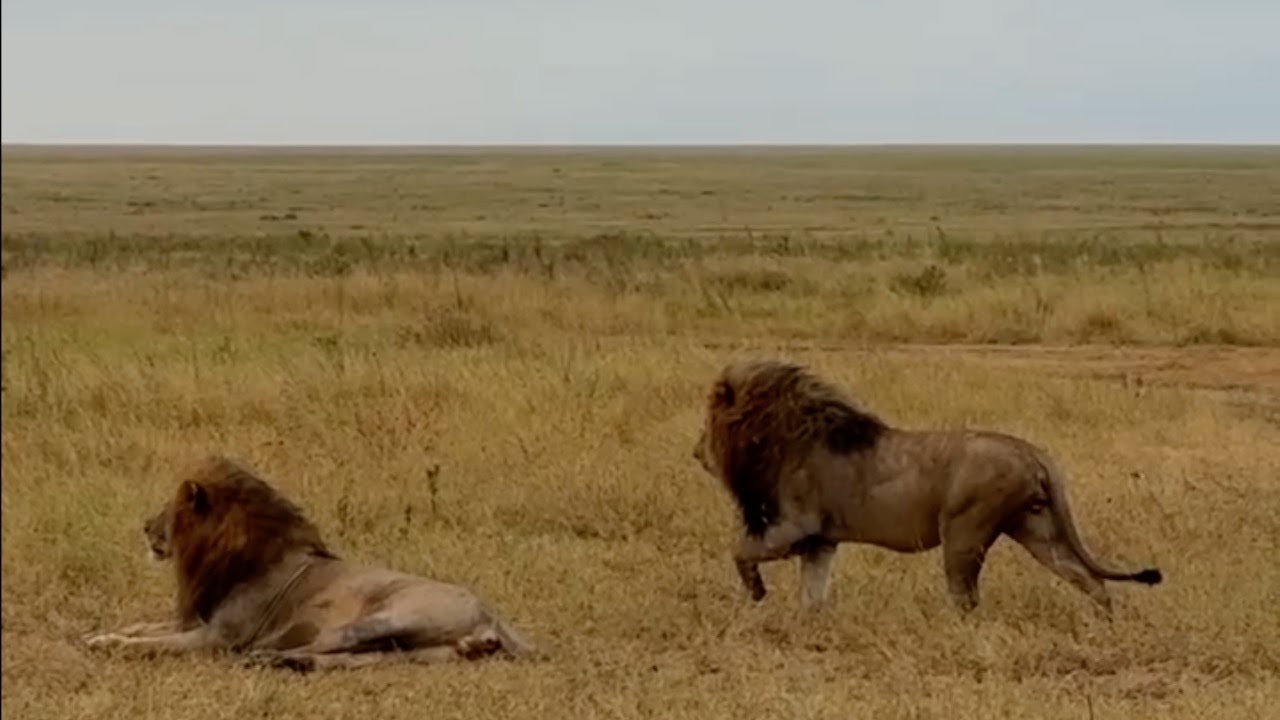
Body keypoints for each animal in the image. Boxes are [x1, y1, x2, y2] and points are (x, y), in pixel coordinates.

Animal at [84, 455, 538, 671]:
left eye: (170, 509)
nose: (144, 526)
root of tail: (491, 614)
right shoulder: (197, 618)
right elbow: (145, 626)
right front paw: (100, 634)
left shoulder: (217, 636)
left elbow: (152, 644)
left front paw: (109, 644)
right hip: (420, 653)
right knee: (352, 659)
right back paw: (290, 663)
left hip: (385, 618)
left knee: (326, 642)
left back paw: (267, 657)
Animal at [692, 359, 1163, 614]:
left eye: (707, 425)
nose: (696, 453)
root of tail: (1033, 451)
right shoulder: (820, 541)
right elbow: (812, 593)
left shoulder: (795, 527)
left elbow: (738, 550)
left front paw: (757, 594)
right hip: (1037, 528)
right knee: (1088, 579)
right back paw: (1104, 626)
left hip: (965, 531)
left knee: (967, 597)